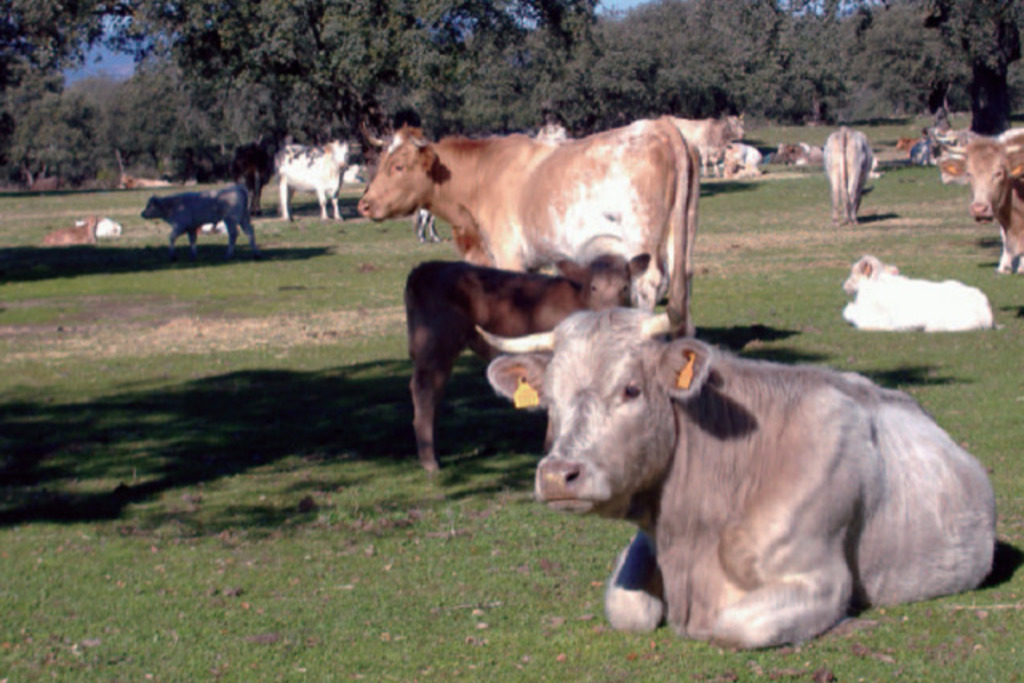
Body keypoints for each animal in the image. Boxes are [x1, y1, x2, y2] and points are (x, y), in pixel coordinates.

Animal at [356, 120, 700, 342]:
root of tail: (662, 128)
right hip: (680, 237)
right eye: (382, 161)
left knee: (650, 285)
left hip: (641, 238)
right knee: (682, 287)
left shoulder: (508, 255)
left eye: (398, 166)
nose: (364, 204)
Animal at [401, 253, 647, 473]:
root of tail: (426, 268)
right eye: (594, 287)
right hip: (435, 346)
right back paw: (430, 460)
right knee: (424, 390)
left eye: (625, 287)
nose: (609, 312)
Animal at [479, 309, 991, 651]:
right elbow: (627, 608)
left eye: (631, 389)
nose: (557, 474)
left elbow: (732, 625)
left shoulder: (821, 580)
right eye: (549, 401)